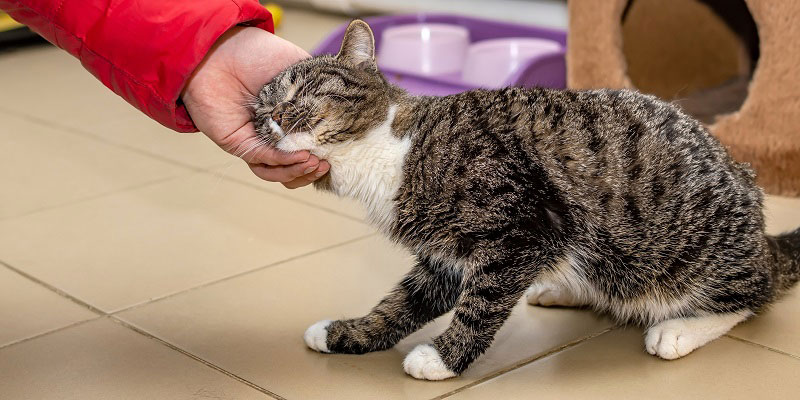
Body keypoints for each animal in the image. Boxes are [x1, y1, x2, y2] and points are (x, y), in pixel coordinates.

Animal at [252, 19, 800, 382]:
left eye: (303, 89)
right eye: (260, 107)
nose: (272, 116)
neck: (388, 148)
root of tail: (762, 236)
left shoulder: (522, 229)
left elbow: (482, 303)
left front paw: (442, 358)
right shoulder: (446, 256)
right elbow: (403, 302)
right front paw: (347, 332)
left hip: (683, 257)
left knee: (753, 294)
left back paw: (679, 330)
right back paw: (560, 289)